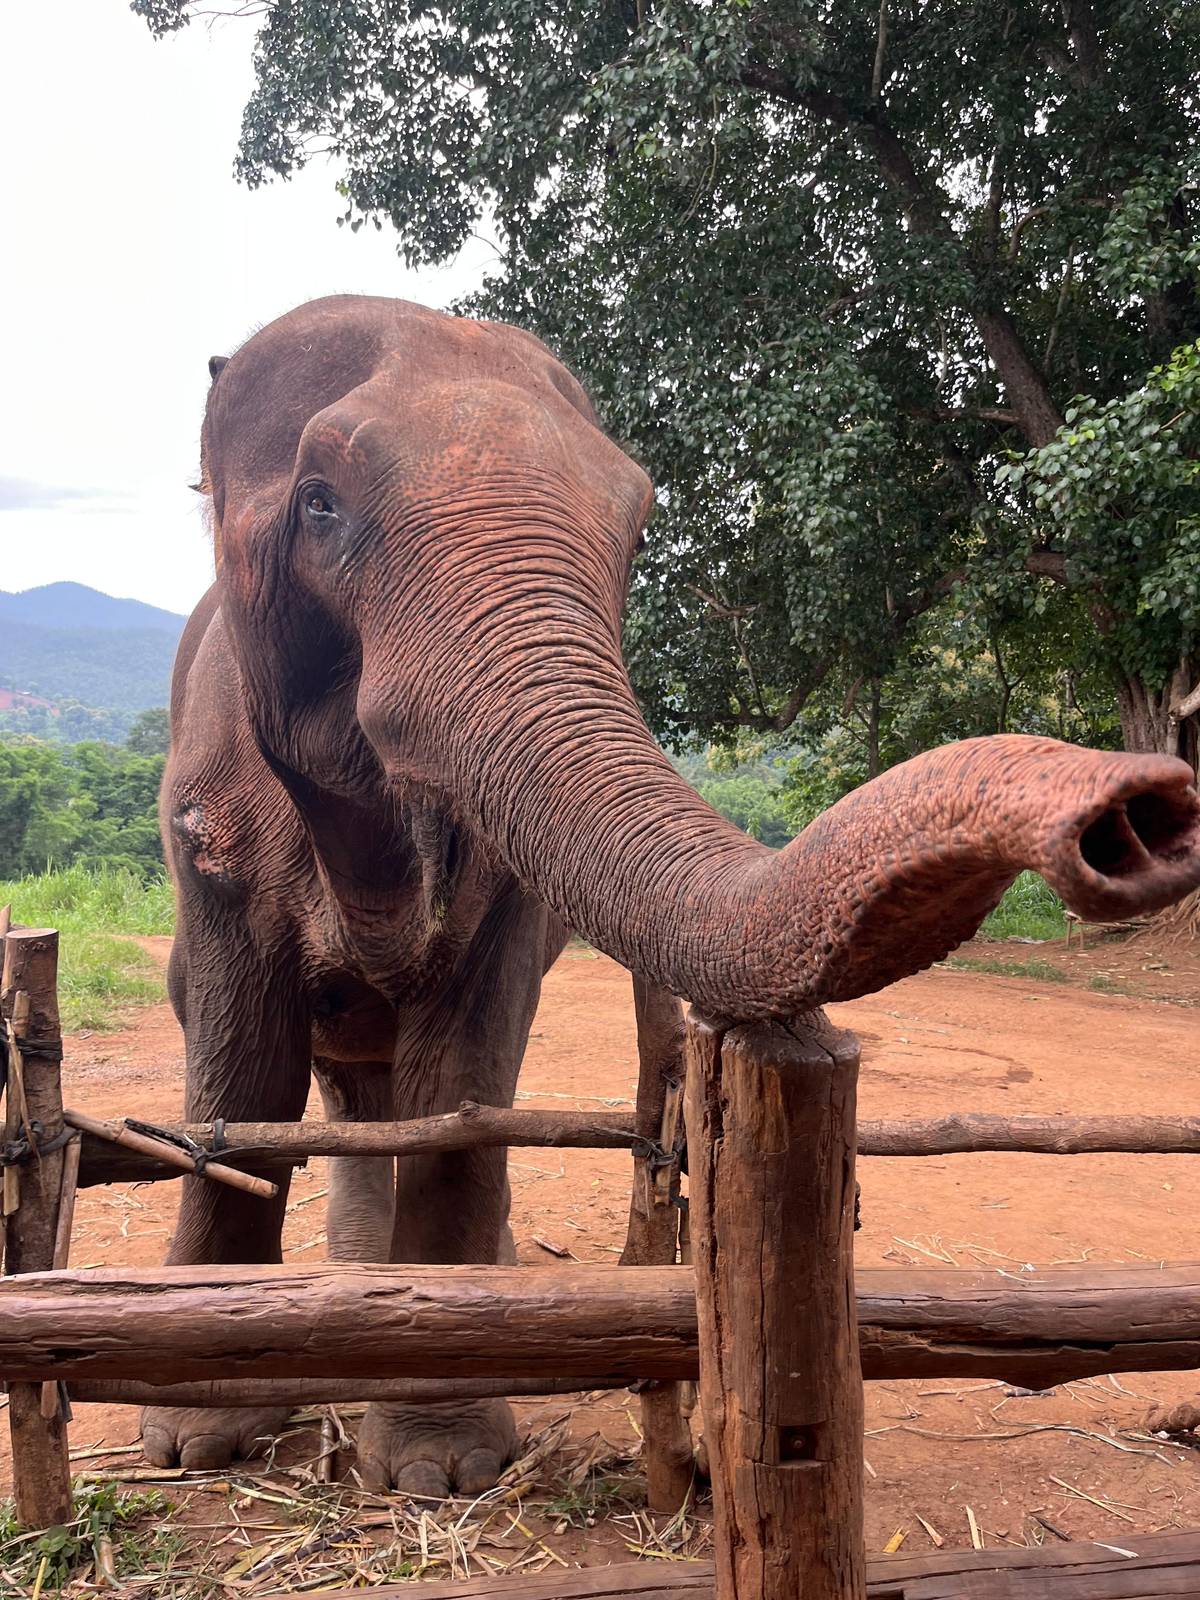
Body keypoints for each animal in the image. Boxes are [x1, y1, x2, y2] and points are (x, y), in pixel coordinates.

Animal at [146, 293, 1200, 1494]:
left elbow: (462, 1071)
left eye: (638, 533)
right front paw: (196, 1433)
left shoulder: (506, 905)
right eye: (318, 500)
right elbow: (240, 1071)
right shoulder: (206, 816)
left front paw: (442, 1464)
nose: (1141, 810)